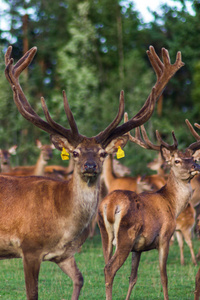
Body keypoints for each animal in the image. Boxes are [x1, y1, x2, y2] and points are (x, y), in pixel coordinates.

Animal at [0, 45, 184, 300]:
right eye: (75, 152)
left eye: (102, 153)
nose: (90, 166)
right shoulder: (29, 248)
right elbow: (32, 293)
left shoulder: (64, 254)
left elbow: (79, 280)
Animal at [98, 119, 200, 300]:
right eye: (177, 161)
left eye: (192, 157)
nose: (196, 165)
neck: (172, 204)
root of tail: (110, 204)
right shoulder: (165, 236)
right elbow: (164, 277)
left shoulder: (138, 248)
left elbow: (133, 277)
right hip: (125, 236)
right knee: (109, 269)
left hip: (105, 233)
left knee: (105, 264)